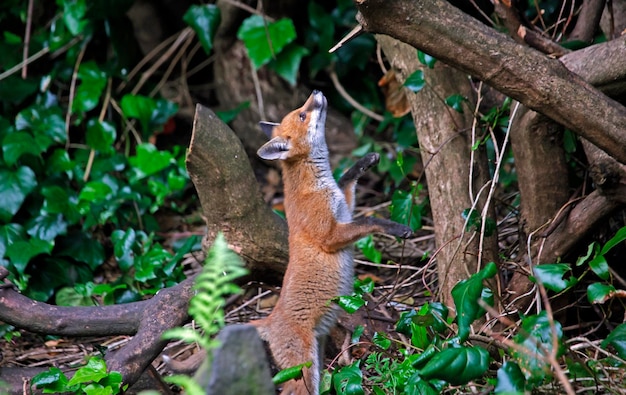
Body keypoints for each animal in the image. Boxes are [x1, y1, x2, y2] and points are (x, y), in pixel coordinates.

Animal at [251, 90, 412, 395]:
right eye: (303, 115)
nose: (316, 92)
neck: (314, 184)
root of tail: (268, 319)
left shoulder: (344, 209)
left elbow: (347, 179)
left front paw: (366, 160)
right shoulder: (329, 235)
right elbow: (369, 221)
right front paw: (396, 228)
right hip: (303, 371)